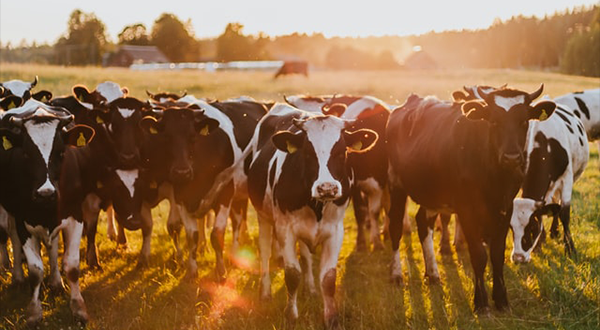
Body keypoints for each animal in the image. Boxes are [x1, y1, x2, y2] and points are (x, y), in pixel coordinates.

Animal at [0, 98, 94, 324]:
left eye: (61, 153)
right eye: (26, 154)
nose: (46, 194)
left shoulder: (75, 216)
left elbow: (72, 266)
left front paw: (79, 308)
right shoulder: (23, 220)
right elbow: (35, 271)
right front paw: (34, 312)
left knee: (53, 245)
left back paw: (56, 282)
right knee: (13, 238)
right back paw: (18, 278)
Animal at [141, 96, 268, 280]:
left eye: (193, 137)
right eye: (166, 137)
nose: (182, 172)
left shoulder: (225, 194)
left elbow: (217, 234)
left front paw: (221, 271)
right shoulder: (180, 197)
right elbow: (191, 236)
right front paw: (192, 270)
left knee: (237, 222)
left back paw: (235, 252)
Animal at [246, 102, 378, 328]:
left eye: (341, 151)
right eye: (307, 152)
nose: (327, 188)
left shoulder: (335, 230)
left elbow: (328, 278)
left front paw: (331, 318)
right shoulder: (285, 229)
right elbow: (292, 274)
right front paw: (291, 316)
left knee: (306, 257)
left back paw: (311, 289)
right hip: (263, 217)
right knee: (264, 251)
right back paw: (265, 293)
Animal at [386, 84, 556, 314]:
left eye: (523, 121)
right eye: (493, 121)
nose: (511, 157)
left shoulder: (505, 207)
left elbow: (497, 254)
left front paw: (501, 300)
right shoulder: (466, 208)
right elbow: (478, 254)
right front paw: (481, 302)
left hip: (432, 194)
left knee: (423, 223)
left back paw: (432, 273)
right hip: (395, 184)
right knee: (395, 226)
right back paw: (396, 274)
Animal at [510, 100, 592, 262]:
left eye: (532, 227)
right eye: (511, 228)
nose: (518, 258)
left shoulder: (567, 178)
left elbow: (564, 213)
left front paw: (570, 248)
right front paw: (538, 245)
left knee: (557, 204)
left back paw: (555, 231)